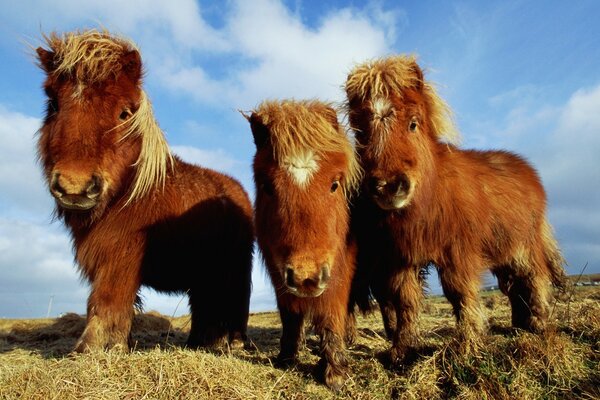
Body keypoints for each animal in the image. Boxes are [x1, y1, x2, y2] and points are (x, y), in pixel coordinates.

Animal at [33, 29, 253, 352]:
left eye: (124, 114)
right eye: (53, 105)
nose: (75, 187)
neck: (129, 194)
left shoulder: (121, 256)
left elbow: (107, 300)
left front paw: (92, 348)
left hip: (233, 268)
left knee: (233, 302)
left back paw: (232, 343)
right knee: (205, 305)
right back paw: (199, 343)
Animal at [245, 100, 360, 390]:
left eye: (334, 184)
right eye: (267, 186)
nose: (306, 278)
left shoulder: (338, 269)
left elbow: (331, 313)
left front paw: (335, 372)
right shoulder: (279, 274)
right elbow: (290, 316)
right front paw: (286, 358)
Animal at [344, 56, 568, 366]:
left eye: (413, 124)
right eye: (361, 133)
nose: (388, 187)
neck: (430, 196)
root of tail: (528, 170)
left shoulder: (457, 253)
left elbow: (460, 294)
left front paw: (468, 346)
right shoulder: (401, 258)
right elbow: (405, 301)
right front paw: (402, 351)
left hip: (524, 246)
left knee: (535, 278)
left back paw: (538, 325)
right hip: (502, 252)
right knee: (512, 287)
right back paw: (519, 325)